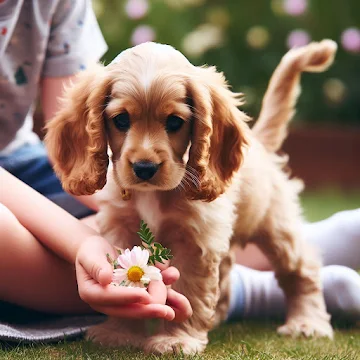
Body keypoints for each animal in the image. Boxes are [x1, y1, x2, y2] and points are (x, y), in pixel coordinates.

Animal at [45, 39, 338, 354]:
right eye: (121, 119)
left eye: (175, 122)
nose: (144, 168)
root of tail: (259, 142)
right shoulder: (121, 230)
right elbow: (122, 277)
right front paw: (120, 330)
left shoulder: (197, 242)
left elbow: (189, 291)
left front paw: (177, 339)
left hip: (277, 228)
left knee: (302, 268)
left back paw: (307, 323)